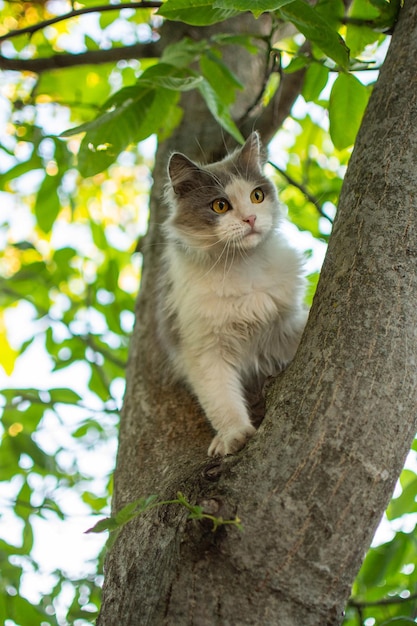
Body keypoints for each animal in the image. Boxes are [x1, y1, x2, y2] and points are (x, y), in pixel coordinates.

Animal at [156, 130, 306, 454]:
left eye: (256, 196)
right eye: (220, 206)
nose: (250, 219)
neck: (240, 264)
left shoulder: (284, 326)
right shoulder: (204, 349)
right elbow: (221, 400)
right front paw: (234, 435)